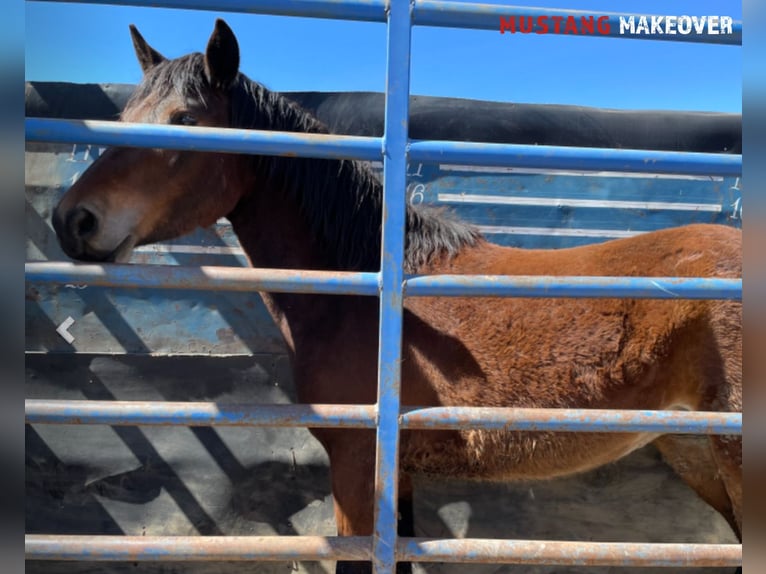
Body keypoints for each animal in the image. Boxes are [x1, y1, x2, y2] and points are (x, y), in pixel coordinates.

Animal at [49, 18, 744, 574]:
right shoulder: (397, 478)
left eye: (186, 122)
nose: (72, 220)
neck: (367, 285)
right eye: (123, 120)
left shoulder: (358, 469)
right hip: (694, 451)